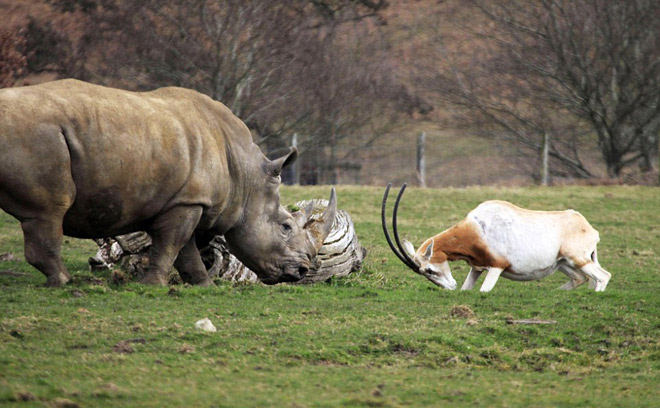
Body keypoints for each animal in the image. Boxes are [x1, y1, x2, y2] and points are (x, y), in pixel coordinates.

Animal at [0, 79, 336, 286]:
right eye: (285, 226)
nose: (303, 271)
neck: (246, 176)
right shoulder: (187, 201)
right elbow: (171, 244)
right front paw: (154, 284)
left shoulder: (187, 200)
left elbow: (185, 250)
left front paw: (204, 285)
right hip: (40, 136)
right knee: (49, 212)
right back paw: (64, 282)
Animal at [381, 184, 611, 292]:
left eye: (428, 269)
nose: (450, 287)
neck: (475, 230)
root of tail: (588, 227)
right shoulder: (477, 268)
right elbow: (467, 288)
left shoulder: (496, 267)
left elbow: (484, 291)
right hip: (563, 263)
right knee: (581, 278)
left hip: (578, 258)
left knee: (602, 276)